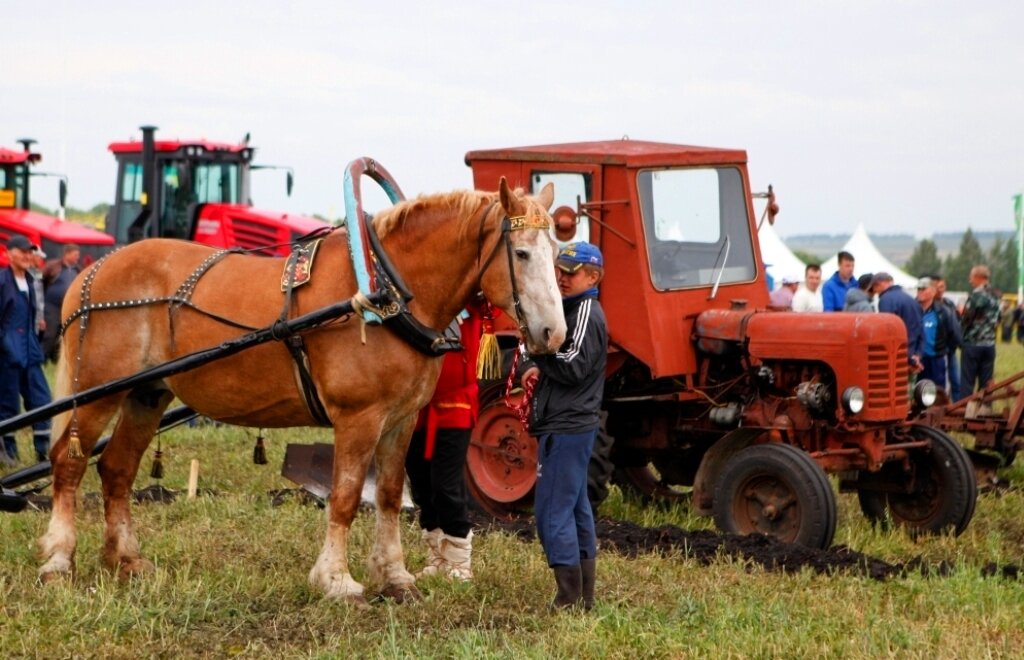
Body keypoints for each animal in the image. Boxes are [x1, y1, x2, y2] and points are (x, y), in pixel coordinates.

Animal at [37, 178, 569, 605]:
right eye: (521, 253)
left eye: (558, 254)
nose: (554, 334)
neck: (385, 296)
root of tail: (93, 271)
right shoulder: (358, 418)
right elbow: (346, 497)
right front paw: (336, 580)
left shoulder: (400, 420)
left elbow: (390, 496)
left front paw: (395, 577)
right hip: (97, 393)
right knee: (69, 464)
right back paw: (58, 562)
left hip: (146, 394)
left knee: (117, 469)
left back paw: (124, 559)